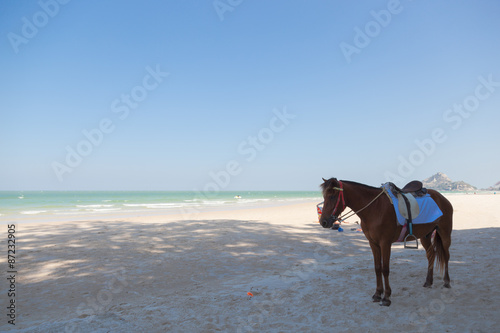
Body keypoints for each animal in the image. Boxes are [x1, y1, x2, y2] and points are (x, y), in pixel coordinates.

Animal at [320, 178, 454, 304]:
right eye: (324, 196)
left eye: (332, 196)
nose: (323, 222)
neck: (374, 208)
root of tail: (442, 198)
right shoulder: (373, 244)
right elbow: (377, 268)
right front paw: (378, 293)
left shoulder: (385, 243)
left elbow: (385, 269)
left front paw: (386, 297)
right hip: (425, 236)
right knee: (431, 254)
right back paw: (428, 281)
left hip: (445, 233)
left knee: (446, 256)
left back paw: (447, 282)